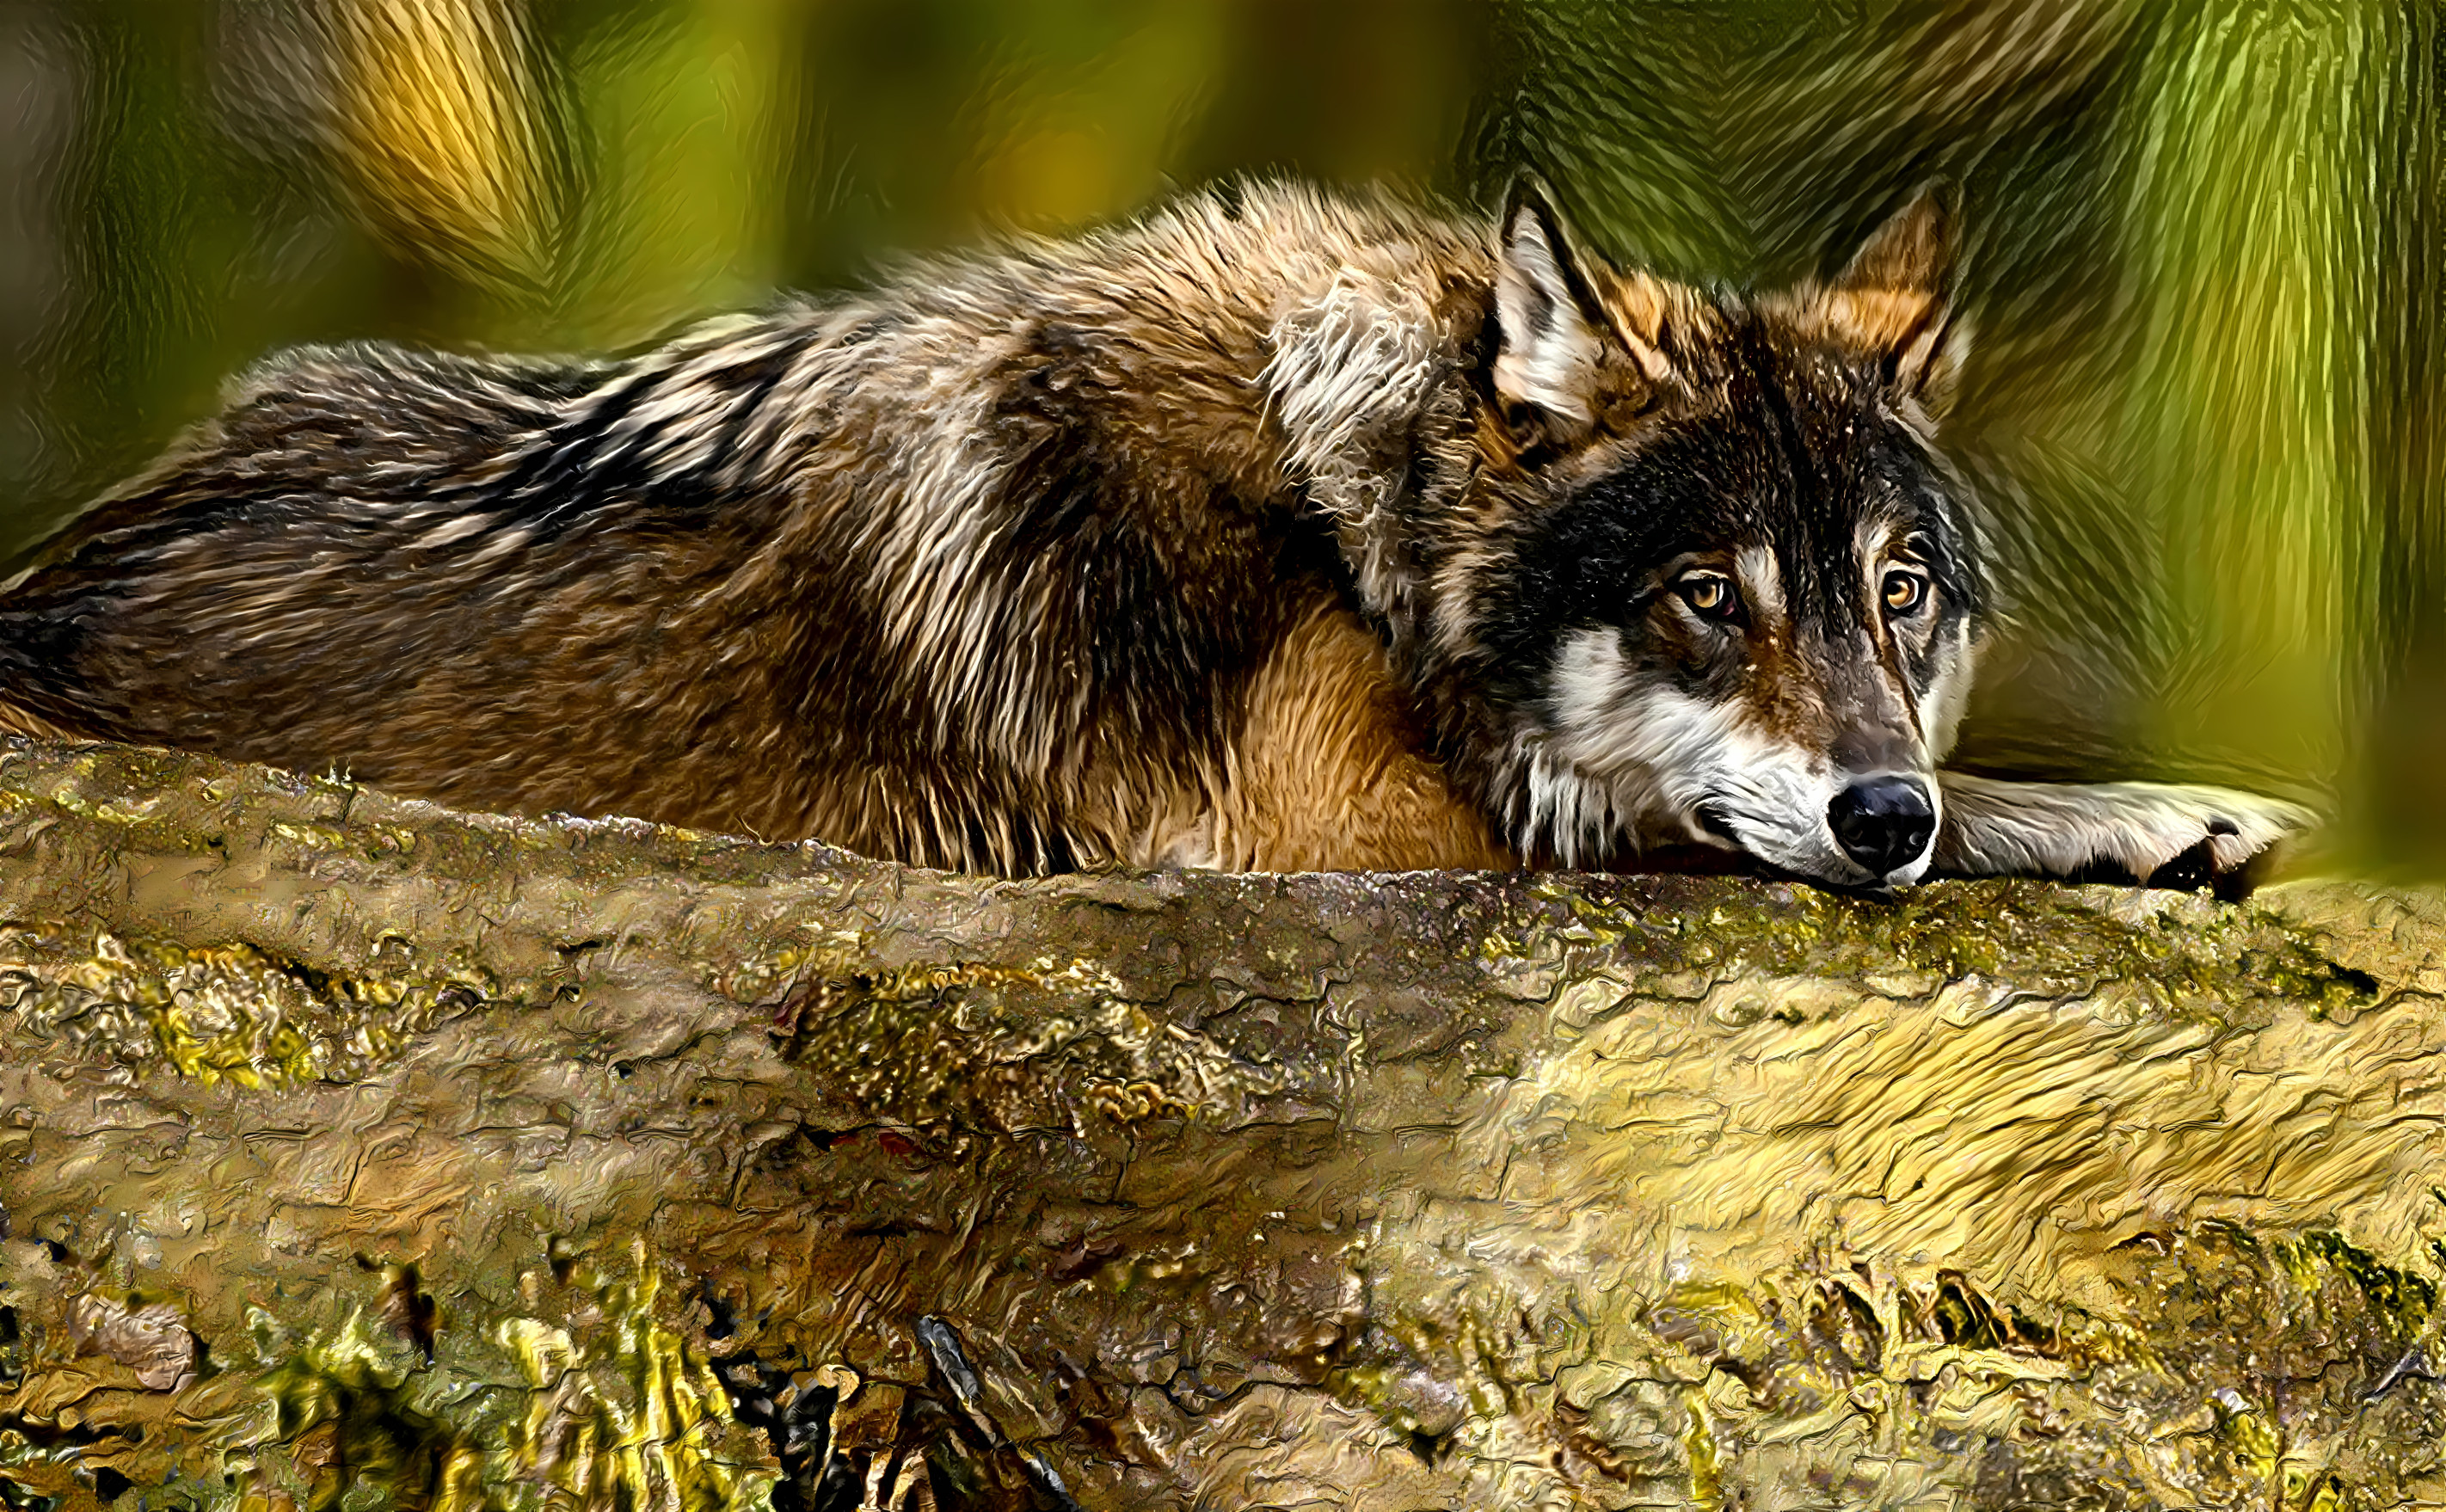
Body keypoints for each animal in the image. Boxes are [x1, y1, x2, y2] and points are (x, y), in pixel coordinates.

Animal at [0, 175, 2308, 881]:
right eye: (1699, 598)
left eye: (1898, 596)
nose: (1883, 815)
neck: (1337, 504)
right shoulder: (1351, 834)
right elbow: (1670, 812)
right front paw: (2123, 813)